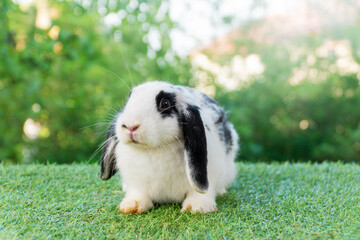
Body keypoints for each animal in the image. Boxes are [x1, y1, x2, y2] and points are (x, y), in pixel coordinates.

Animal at [100, 81, 238, 214]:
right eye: (128, 100)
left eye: (165, 103)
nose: (130, 125)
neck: (154, 150)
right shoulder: (137, 183)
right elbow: (138, 193)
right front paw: (131, 206)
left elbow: (200, 193)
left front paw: (196, 208)